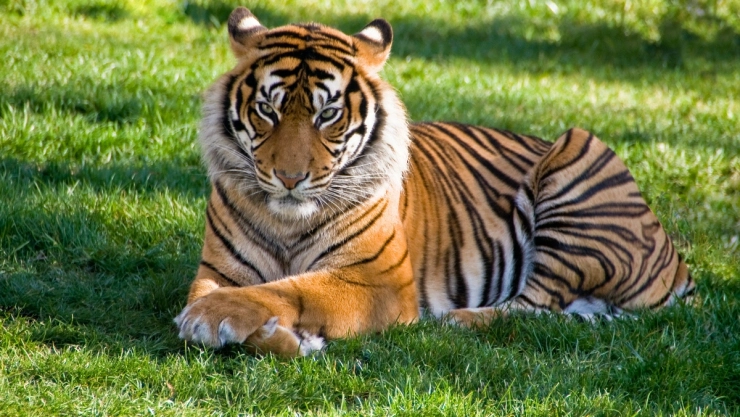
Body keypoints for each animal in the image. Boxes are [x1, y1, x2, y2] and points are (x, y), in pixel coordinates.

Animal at [174, 7, 695, 357]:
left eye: (328, 115)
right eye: (268, 109)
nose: (289, 178)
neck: (287, 221)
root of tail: (677, 261)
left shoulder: (378, 281)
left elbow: (291, 289)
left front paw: (213, 318)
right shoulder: (218, 268)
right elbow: (226, 292)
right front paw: (276, 335)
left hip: (578, 150)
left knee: (535, 305)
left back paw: (456, 320)